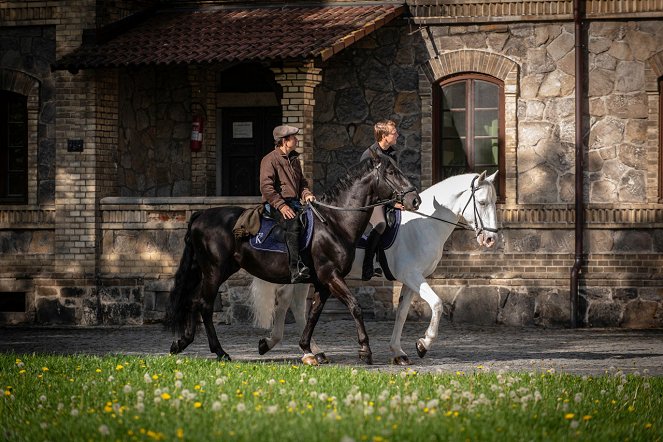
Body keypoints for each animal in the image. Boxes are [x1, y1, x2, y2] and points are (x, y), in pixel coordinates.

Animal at [166, 150, 420, 364]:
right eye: (391, 172)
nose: (415, 200)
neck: (335, 223)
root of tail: (200, 216)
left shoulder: (323, 282)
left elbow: (313, 314)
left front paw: (307, 348)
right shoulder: (331, 275)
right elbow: (355, 306)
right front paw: (365, 350)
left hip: (211, 270)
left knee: (193, 302)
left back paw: (181, 343)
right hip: (215, 271)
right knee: (205, 305)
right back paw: (220, 352)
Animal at [249, 171, 498, 364]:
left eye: (495, 202)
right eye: (482, 203)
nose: (491, 239)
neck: (425, 224)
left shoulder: (411, 279)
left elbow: (402, 313)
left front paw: (398, 352)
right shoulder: (412, 275)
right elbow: (436, 304)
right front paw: (423, 344)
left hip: (313, 275)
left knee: (297, 305)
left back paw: (309, 350)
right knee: (288, 302)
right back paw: (289, 347)